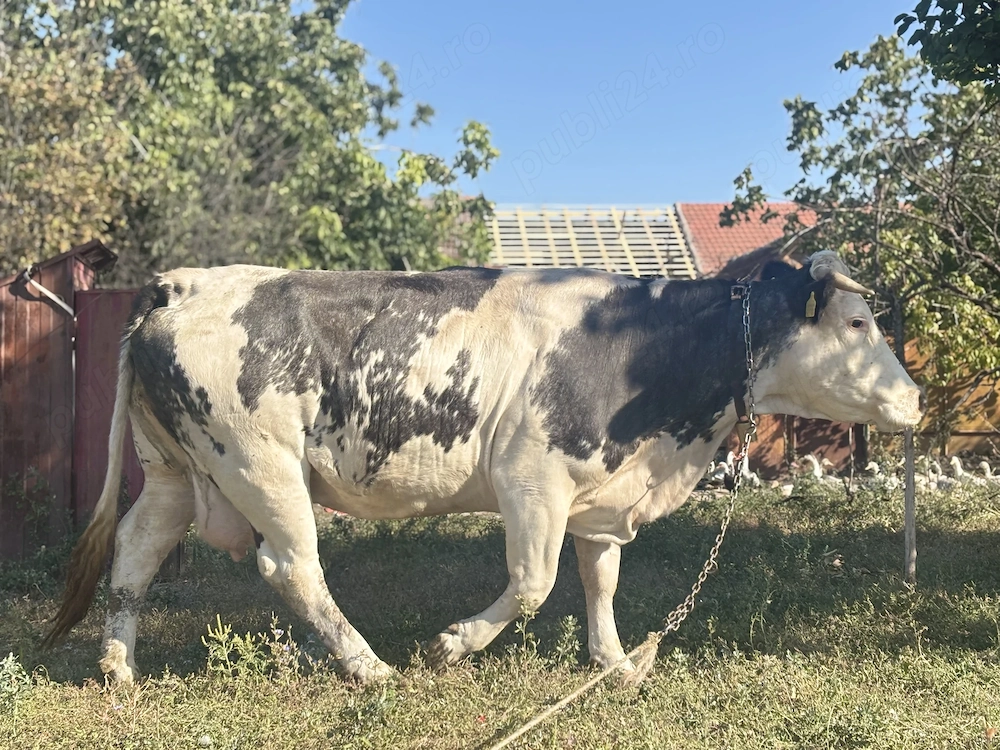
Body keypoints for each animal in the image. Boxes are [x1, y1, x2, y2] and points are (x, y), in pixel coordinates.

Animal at [44, 250, 923, 683]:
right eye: (856, 322)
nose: (914, 399)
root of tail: (181, 284)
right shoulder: (532, 479)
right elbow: (534, 583)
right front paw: (453, 646)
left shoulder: (601, 492)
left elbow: (600, 580)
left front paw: (613, 665)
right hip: (261, 465)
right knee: (292, 567)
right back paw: (369, 667)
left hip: (174, 468)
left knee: (135, 553)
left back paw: (120, 668)